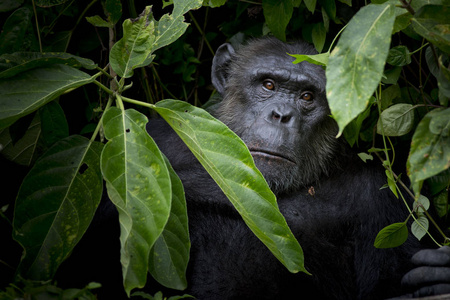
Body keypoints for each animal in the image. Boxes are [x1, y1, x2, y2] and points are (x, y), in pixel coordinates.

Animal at [57, 37, 450, 300]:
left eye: (307, 97)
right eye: (269, 84)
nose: (282, 114)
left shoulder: (384, 203)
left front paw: (437, 276)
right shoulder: (154, 142)